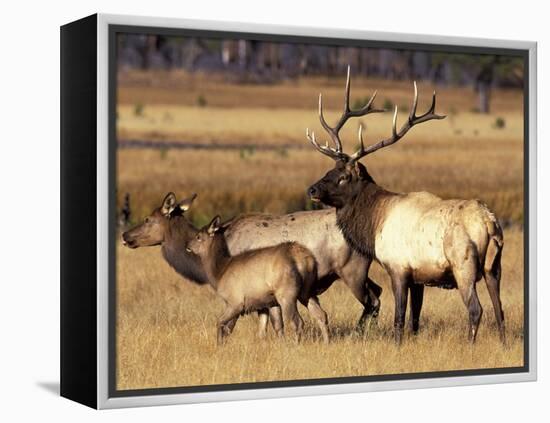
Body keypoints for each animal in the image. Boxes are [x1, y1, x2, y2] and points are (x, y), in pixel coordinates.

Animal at [188, 215, 330, 344]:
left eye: (198, 236)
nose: (187, 245)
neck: (219, 273)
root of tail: (307, 260)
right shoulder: (265, 303)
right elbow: (267, 330)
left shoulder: (235, 301)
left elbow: (220, 323)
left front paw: (219, 345)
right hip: (307, 291)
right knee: (321, 315)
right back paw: (326, 342)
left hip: (286, 293)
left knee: (297, 322)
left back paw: (296, 345)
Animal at [308, 65, 506, 344]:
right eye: (330, 169)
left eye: (343, 176)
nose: (312, 189)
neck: (374, 223)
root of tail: (489, 222)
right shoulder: (418, 277)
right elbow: (415, 319)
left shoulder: (398, 268)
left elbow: (399, 318)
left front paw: (397, 345)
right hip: (494, 266)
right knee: (500, 310)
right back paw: (504, 344)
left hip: (463, 264)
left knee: (476, 309)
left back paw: (471, 345)